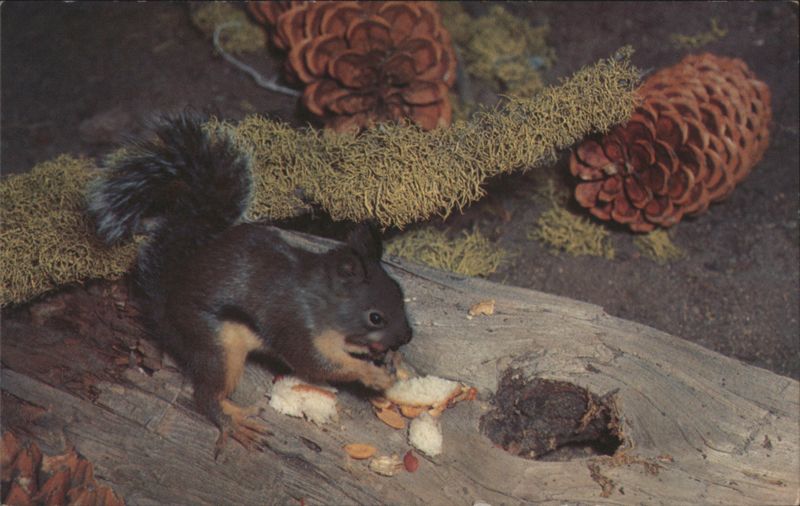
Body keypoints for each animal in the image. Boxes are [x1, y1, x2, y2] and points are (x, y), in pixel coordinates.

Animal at [87, 114, 413, 451]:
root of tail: (167, 295)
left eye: (399, 292)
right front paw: (372, 374)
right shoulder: (298, 326)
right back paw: (234, 421)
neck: (323, 302)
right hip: (218, 345)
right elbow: (318, 364)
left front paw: (386, 358)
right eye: (375, 317)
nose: (407, 336)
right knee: (206, 394)